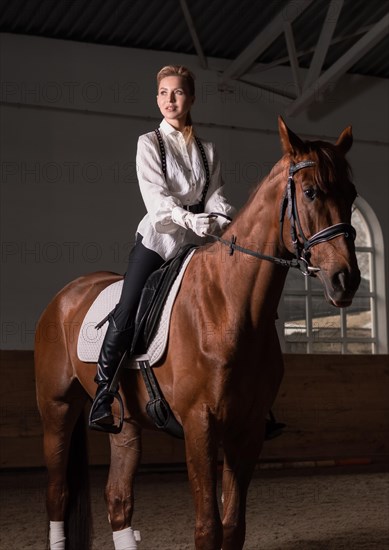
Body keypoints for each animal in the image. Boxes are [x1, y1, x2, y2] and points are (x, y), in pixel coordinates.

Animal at [34, 117, 360, 550]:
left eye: (352, 194)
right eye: (310, 192)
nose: (346, 280)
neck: (230, 306)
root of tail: (64, 296)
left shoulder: (247, 429)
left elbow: (234, 527)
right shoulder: (199, 425)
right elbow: (208, 528)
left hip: (126, 425)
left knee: (118, 499)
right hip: (57, 409)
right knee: (57, 494)